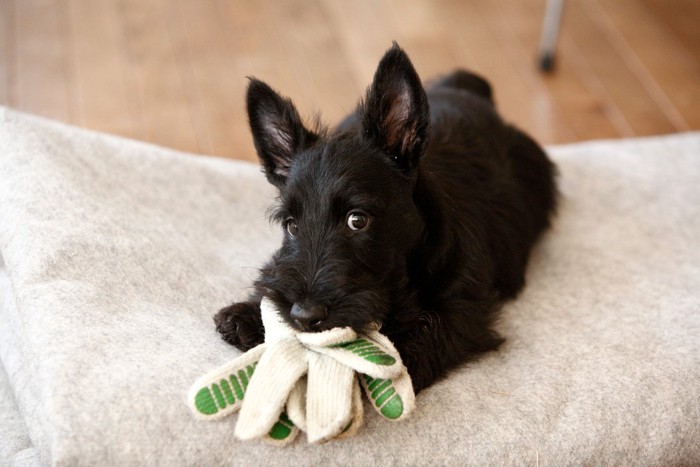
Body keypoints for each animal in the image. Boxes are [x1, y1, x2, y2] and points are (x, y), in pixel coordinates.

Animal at [216, 45, 556, 394]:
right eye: (291, 225)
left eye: (357, 220)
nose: (304, 315)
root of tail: (465, 87)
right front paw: (245, 314)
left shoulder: (465, 309)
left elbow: (432, 331)